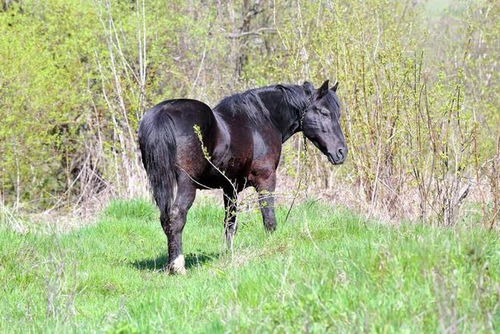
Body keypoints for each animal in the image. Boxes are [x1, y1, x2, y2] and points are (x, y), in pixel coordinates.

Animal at [139, 80, 346, 274]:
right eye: (324, 112)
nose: (341, 152)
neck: (260, 121)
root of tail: (163, 113)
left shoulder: (230, 188)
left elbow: (230, 224)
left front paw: (229, 256)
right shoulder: (266, 180)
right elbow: (269, 220)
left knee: (166, 218)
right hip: (187, 185)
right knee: (176, 216)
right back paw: (178, 266)